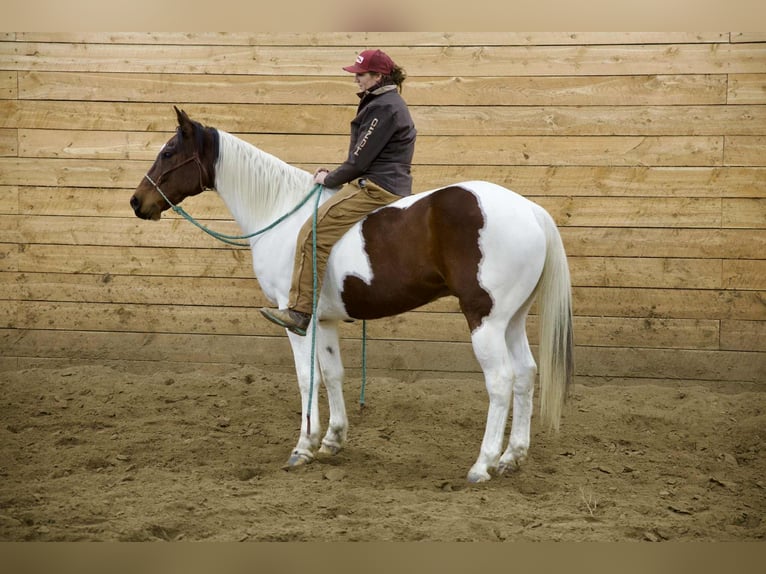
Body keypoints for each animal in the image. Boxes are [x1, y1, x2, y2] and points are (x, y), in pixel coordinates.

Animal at [130, 107, 574, 483]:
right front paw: (331, 440)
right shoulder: (323, 321)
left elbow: (306, 378)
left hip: (486, 320)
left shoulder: (295, 320)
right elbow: (332, 374)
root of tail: (530, 210)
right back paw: (512, 457)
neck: (281, 213)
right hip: (512, 320)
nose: (137, 202)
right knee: (526, 374)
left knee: (501, 381)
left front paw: (302, 447)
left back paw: (482, 464)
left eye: (169, 152)